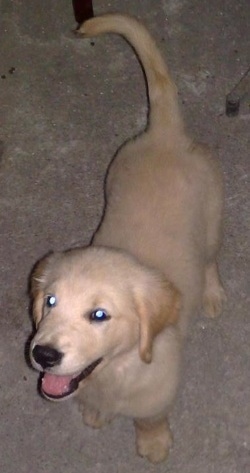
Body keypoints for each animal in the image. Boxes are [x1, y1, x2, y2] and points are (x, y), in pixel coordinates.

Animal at [29, 13, 227, 460]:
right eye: (50, 302)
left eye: (99, 315)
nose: (42, 354)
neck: (115, 372)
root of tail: (164, 134)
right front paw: (95, 414)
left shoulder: (157, 391)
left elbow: (150, 418)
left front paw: (153, 443)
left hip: (212, 217)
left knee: (210, 258)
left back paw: (211, 292)